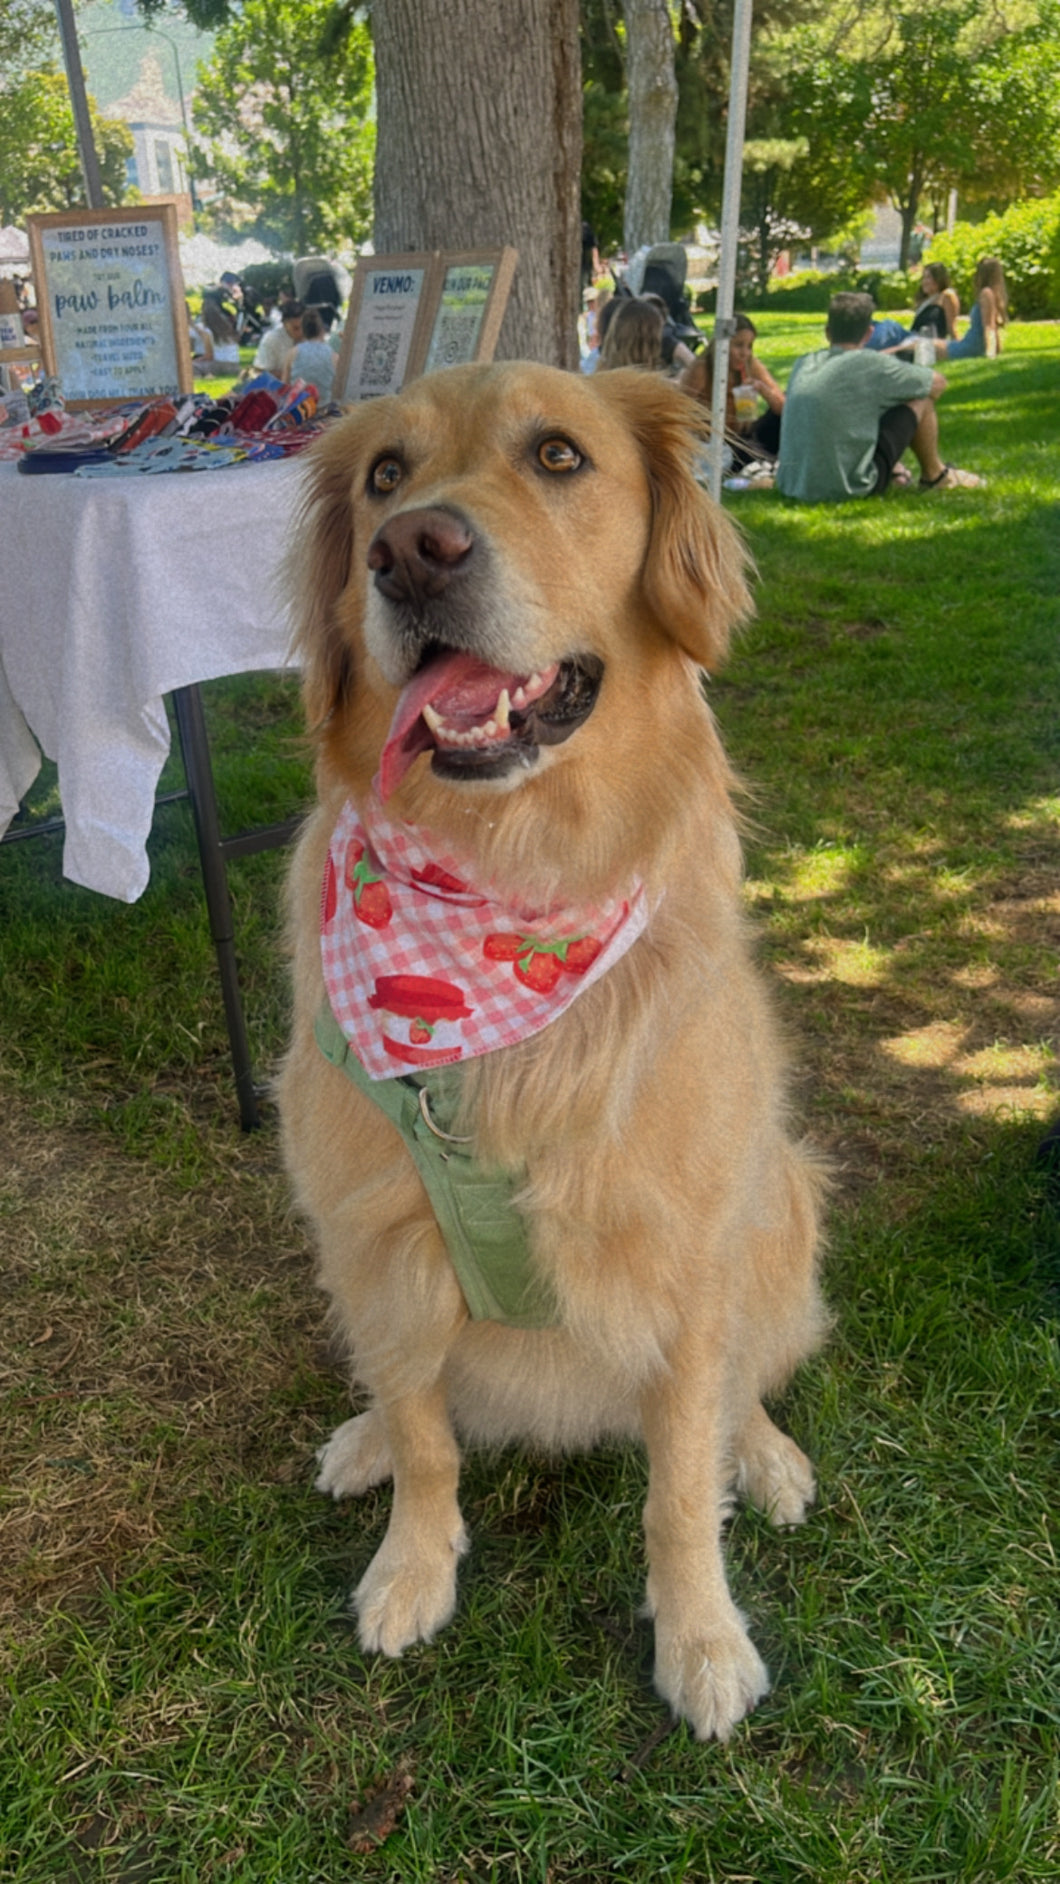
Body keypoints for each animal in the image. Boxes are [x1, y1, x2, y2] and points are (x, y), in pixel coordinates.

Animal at [280, 354, 828, 1733]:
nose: (410, 552)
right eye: (383, 476)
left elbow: (680, 1483)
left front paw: (699, 1637)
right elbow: (429, 1435)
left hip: (785, 1201)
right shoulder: (376, 1239)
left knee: (750, 1380)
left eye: (559, 456)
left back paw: (768, 1456)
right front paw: (412, 1564)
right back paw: (363, 1437)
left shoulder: (684, 1262)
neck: (505, 883)